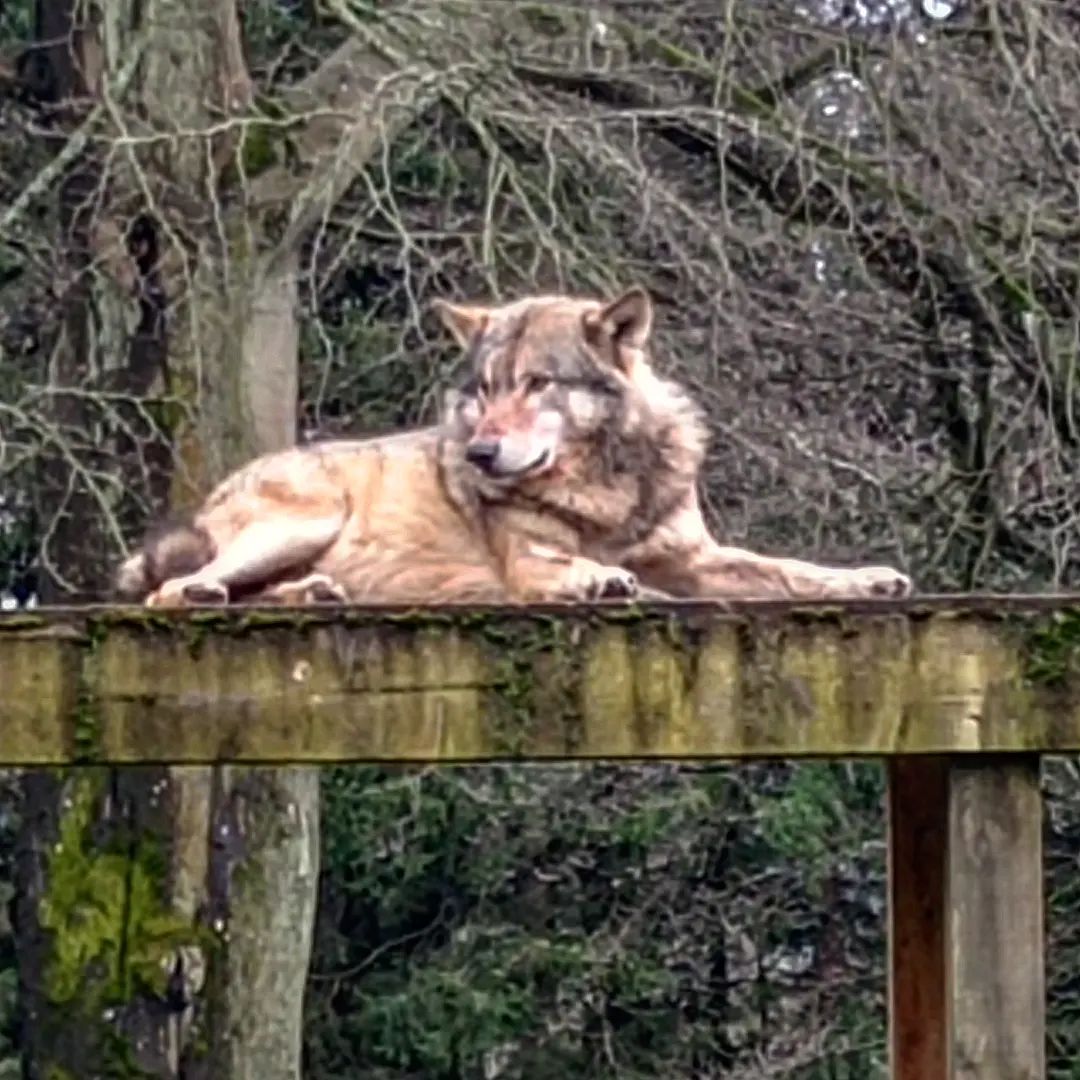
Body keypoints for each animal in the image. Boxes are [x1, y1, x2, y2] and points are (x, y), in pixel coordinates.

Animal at [115, 286, 912, 607]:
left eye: (536, 384)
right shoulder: (533, 562)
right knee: (168, 593)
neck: (604, 489)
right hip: (307, 520)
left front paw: (866, 578)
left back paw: (310, 593)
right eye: (487, 387)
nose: (479, 455)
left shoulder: (696, 557)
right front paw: (603, 580)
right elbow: (585, 572)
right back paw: (217, 590)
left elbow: (789, 570)